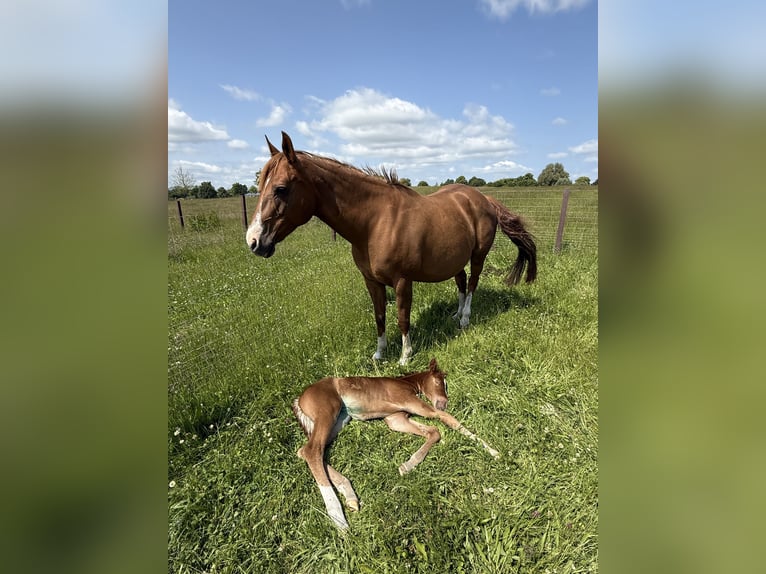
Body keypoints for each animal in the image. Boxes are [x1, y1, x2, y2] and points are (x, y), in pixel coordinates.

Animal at [246, 131, 537, 364]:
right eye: (260, 186)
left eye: (281, 189)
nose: (254, 241)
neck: (375, 222)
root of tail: (482, 198)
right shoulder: (371, 281)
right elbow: (379, 316)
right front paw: (379, 353)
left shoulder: (402, 281)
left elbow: (402, 317)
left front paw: (405, 356)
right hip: (455, 258)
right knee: (462, 282)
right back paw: (455, 315)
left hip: (478, 256)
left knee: (474, 282)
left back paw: (465, 319)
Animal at [292, 358, 499, 530]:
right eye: (439, 382)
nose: (444, 403)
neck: (405, 383)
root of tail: (299, 399)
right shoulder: (413, 403)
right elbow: (449, 420)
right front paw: (493, 450)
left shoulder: (395, 418)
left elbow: (434, 431)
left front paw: (407, 465)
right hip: (327, 412)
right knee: (312, 450)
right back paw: (338, 518)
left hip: (340, 420)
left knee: (309, 451)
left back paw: (349, 495)